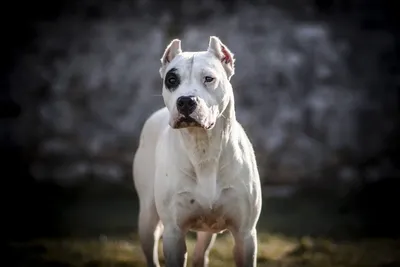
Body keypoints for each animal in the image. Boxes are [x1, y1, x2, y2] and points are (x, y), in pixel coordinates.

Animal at [133, 36, 260, 267]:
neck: (203, 148)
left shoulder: (245, 235)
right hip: (147, 218)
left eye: (209, 78)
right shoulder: (174, 234)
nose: (185, 101)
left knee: (200, 253)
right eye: (171, 79)